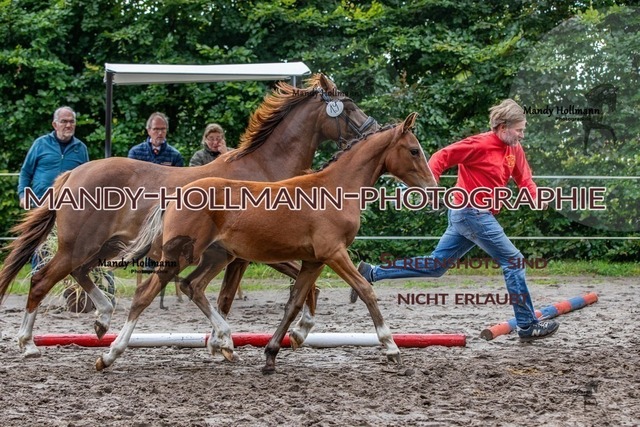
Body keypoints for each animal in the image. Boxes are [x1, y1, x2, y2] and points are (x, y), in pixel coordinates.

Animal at [0, 74, 377, 358]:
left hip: (104, 248)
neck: (266, 172)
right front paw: (284, 334)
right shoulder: (252, 254)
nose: (373, 131)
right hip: (79, 246)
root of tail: (71, 174)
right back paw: (28, 344)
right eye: (350, 105)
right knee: (42, 279)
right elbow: (247, 294)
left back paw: (103, 320)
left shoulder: (250, 254)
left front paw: (226, 342)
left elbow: (295, 285)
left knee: (78, 274)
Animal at [96, 112, 437, 373]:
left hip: (217, 256)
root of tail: (176, 194)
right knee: (145, 294)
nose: (432, 188)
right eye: (414, 150)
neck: (334, 188)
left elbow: (296, 301)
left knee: (193, 286)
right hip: (181, 255)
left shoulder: (314, 259)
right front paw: (391, 348)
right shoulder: (334, 253)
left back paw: (224, 339)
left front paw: (274, 352)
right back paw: (109, 354)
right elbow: (365, 291)